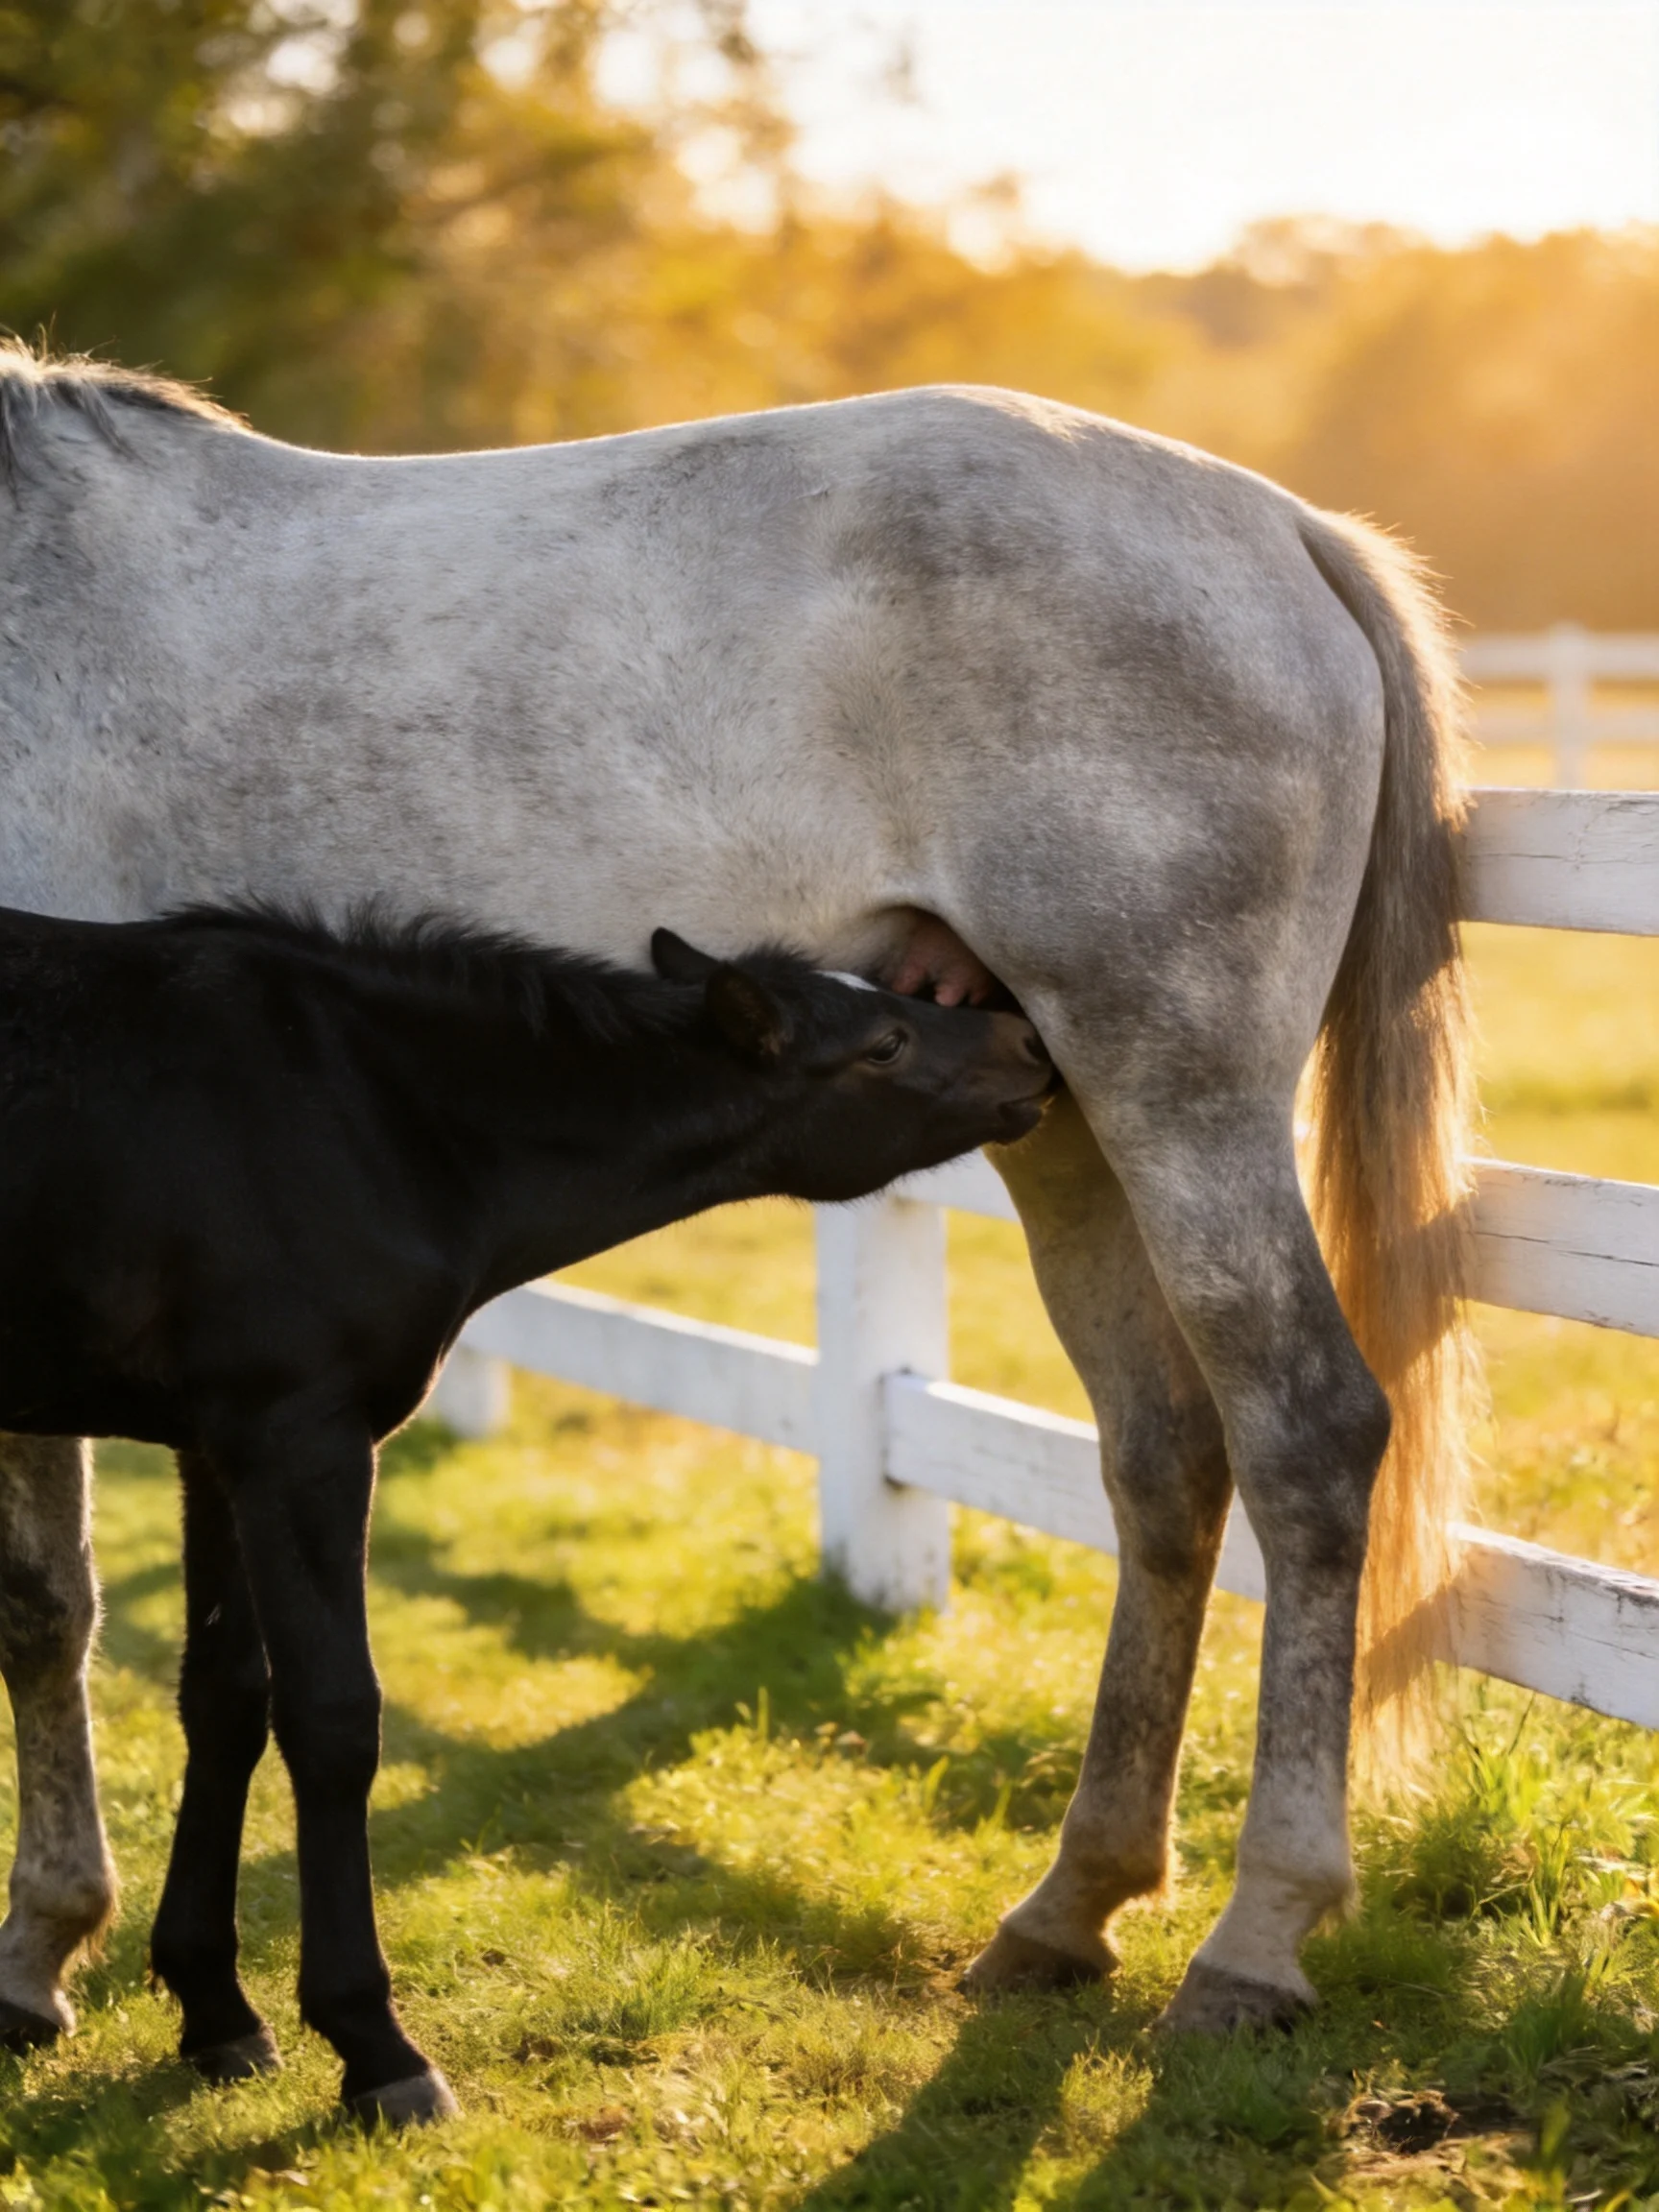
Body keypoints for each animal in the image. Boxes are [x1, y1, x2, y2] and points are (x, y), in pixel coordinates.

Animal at [0, 898, 1049, 2121]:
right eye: (884, 1043)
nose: (1032, 1042)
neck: (360, 1113)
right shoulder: (298, 1439)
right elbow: (333, 1722)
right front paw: (375, 2047)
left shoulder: (217, 1446)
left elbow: (224, 1700)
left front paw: (216, 2009)